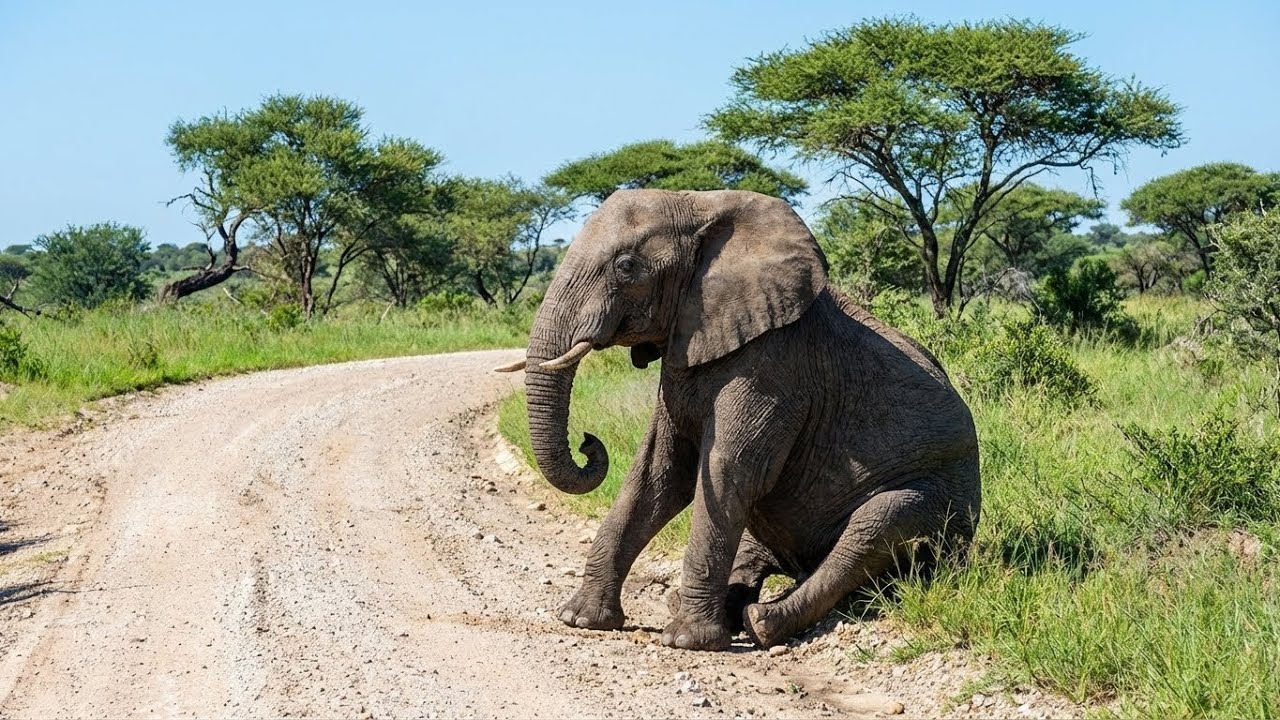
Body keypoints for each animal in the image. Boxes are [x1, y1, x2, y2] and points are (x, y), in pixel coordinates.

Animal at [496, 189, 980, 651]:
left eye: (627, 266)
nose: (587, 442)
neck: (702, 203)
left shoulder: (776, 363)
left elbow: (728, 470)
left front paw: (688, 642)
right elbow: (657, 473)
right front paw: (580, 619)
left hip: (941, 498)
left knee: (873, 527)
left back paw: (762, 624)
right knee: (759, 542)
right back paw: (708, 605)